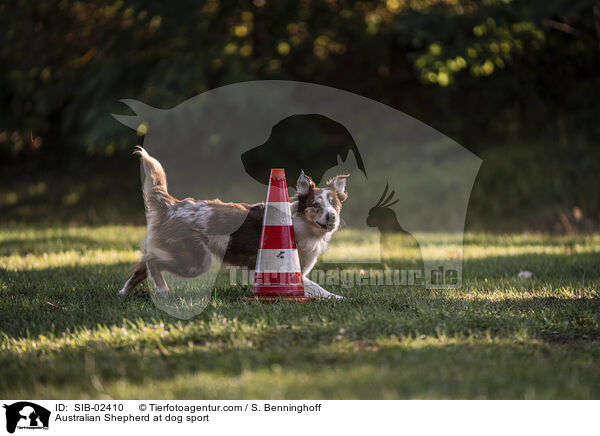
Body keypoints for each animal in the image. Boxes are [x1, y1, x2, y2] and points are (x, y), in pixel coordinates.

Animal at [119, 146, 350, 300]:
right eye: (316, 205)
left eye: (335, 205)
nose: (332, 217)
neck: (303, 226)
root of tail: (173, 205)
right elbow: (318, 288)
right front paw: (338, 298)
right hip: (195, 260)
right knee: (151, 260)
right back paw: (163, 290)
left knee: (141, 265)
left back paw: (124, 292)